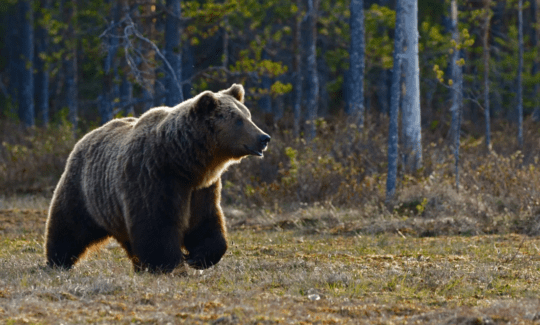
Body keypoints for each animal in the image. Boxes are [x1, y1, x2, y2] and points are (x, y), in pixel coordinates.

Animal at [43, 83, 270, 270]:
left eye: (248, 116)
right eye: (239, 120)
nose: (264, 137)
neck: (184, 162)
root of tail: (87, 136)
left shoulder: (202, 188)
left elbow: (205, 221)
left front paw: (198, 257)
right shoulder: (153, 177)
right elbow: (157, 224)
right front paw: (169, 264)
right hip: (84, 190)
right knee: (68, 226)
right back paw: (57, 261)